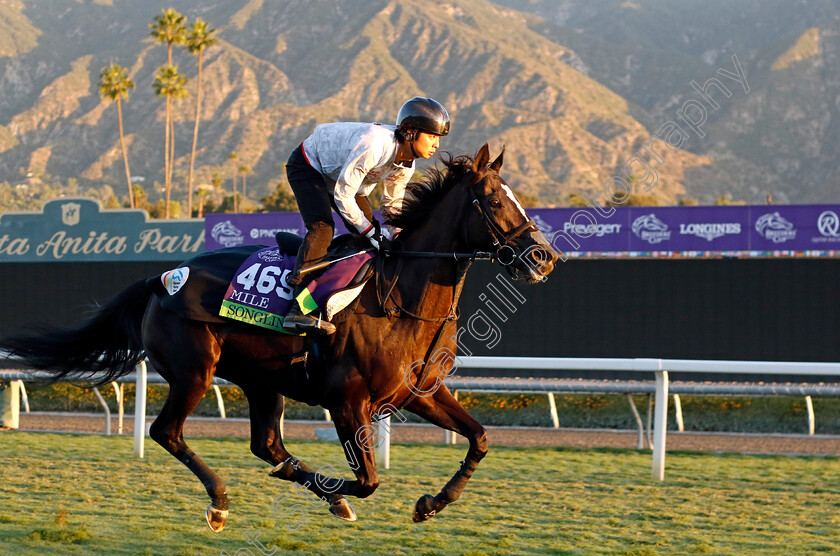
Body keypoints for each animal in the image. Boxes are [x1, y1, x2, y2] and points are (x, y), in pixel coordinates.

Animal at [0, 146, 556, 532]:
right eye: (493, 201)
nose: (543, 257)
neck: (401, 299)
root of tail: (163, 277)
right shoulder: (346, 400)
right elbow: (369, 479)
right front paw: (342, 491)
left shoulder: (418, 392)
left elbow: (479, 437)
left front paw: (431, 503)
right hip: (194, 371)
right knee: (167, 433)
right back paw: (222, 501)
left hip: (262, 382)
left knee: (266, 444)